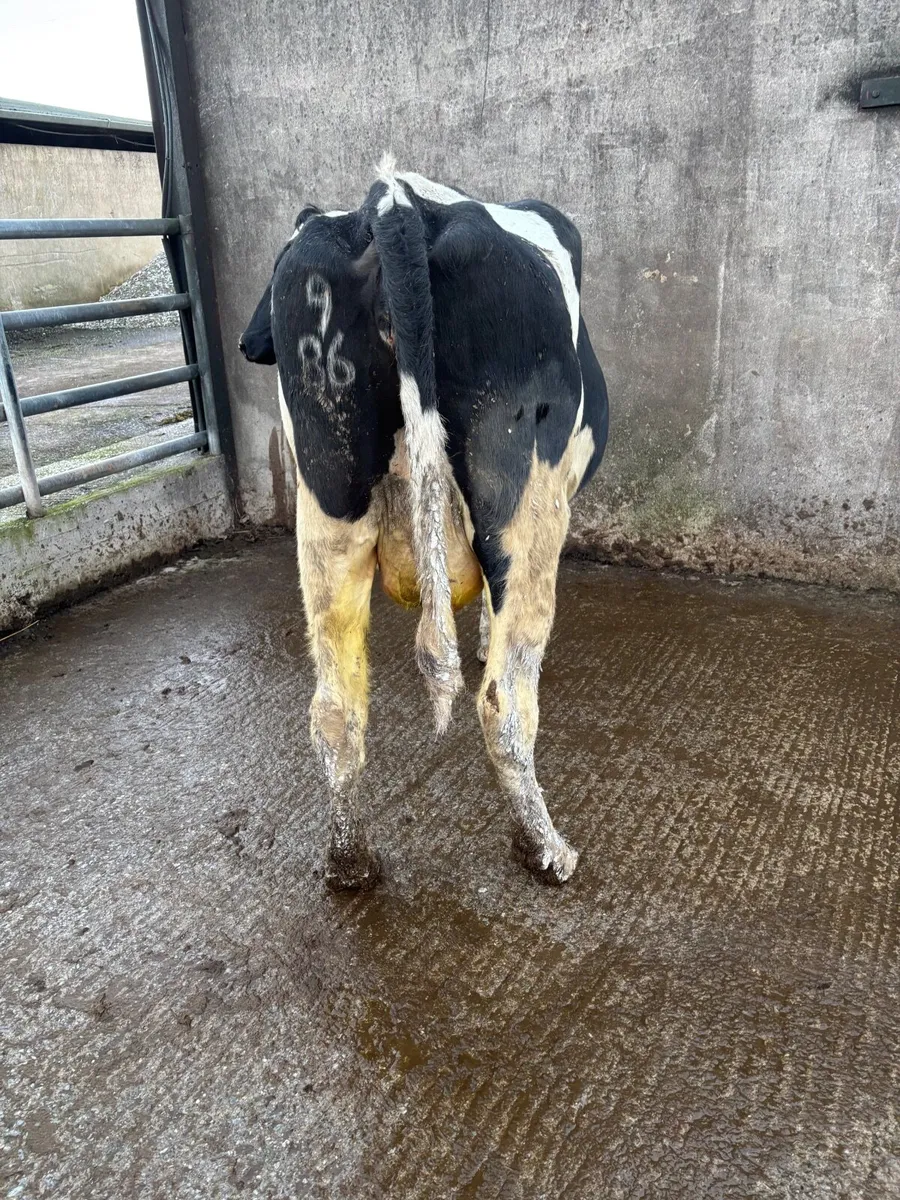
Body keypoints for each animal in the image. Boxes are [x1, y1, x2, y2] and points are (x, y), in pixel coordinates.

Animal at [239, 159, 609, 890]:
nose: (248, 342)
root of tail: (392, 198)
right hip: (526, 508)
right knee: (504, 702)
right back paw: (546, 850)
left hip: (328, 506)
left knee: (334, 709)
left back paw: (349, 862)